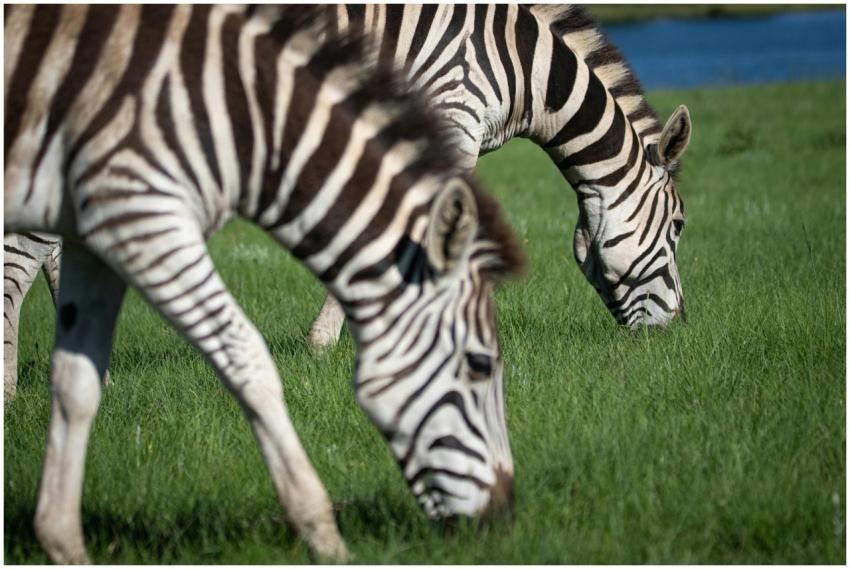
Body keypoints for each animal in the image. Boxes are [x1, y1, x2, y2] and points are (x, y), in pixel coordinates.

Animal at [5, 5, 525, 562]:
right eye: (480, 365)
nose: (503, 519)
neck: (248, 113)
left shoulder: (97, 235)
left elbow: (74, 382)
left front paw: (61, 537)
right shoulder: (141, 216)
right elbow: (248, 359)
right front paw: (321, 531)